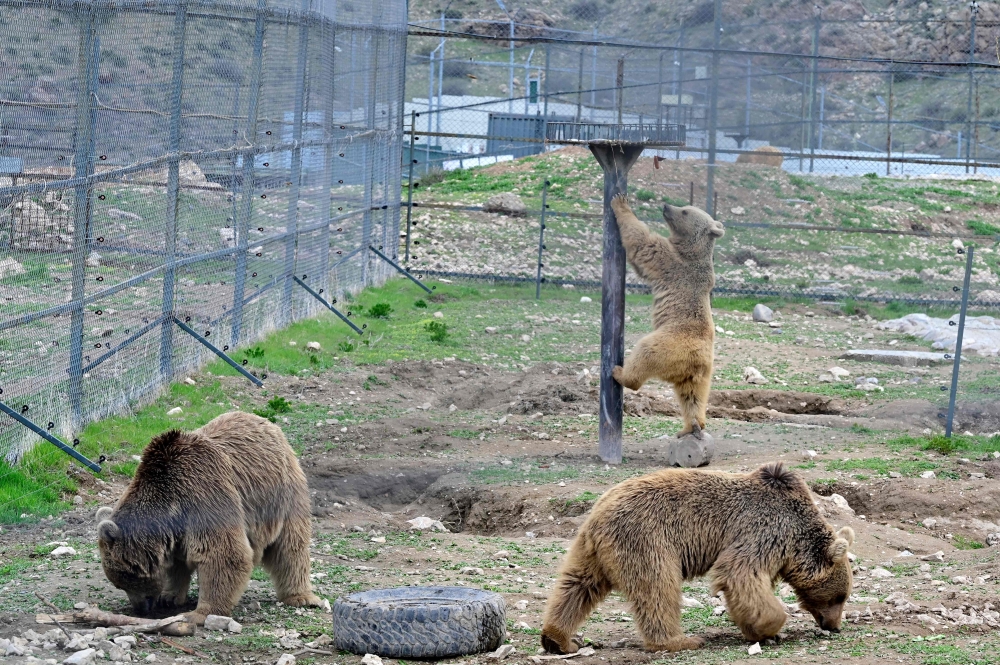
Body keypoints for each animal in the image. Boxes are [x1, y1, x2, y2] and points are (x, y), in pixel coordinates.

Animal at [96, 411, 322, 624]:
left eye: (123, 580)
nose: (140, 608)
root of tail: (267, 422)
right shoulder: (178, 532)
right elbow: (178, 564)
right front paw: (169, 597)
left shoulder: (204, 496)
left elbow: (223, 554)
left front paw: (199, 613)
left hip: (283, 492)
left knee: (290, 546)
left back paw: (302, 597)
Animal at [541, 462, 854, 654]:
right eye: (840, 597)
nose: (835, 626)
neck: (796, 538)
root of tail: (597, 516)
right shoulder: (761, 531)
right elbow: (739, 572)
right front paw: (771, 627)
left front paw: (759, 632)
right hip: (647, 539)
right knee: (658, 589)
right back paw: (680, 640)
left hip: (591, 551)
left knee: (577, 585)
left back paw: (558, 639)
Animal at [609, 194, 724, 438]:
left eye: (685, 211)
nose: (666, 206)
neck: (691, 250)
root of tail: (695, 360)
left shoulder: (670, 261)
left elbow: (642, 243)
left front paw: (620, 202)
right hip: (701, 373)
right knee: (693, 396)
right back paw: (691, 426)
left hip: (668, 344)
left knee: (644, 354)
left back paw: (619, 372)